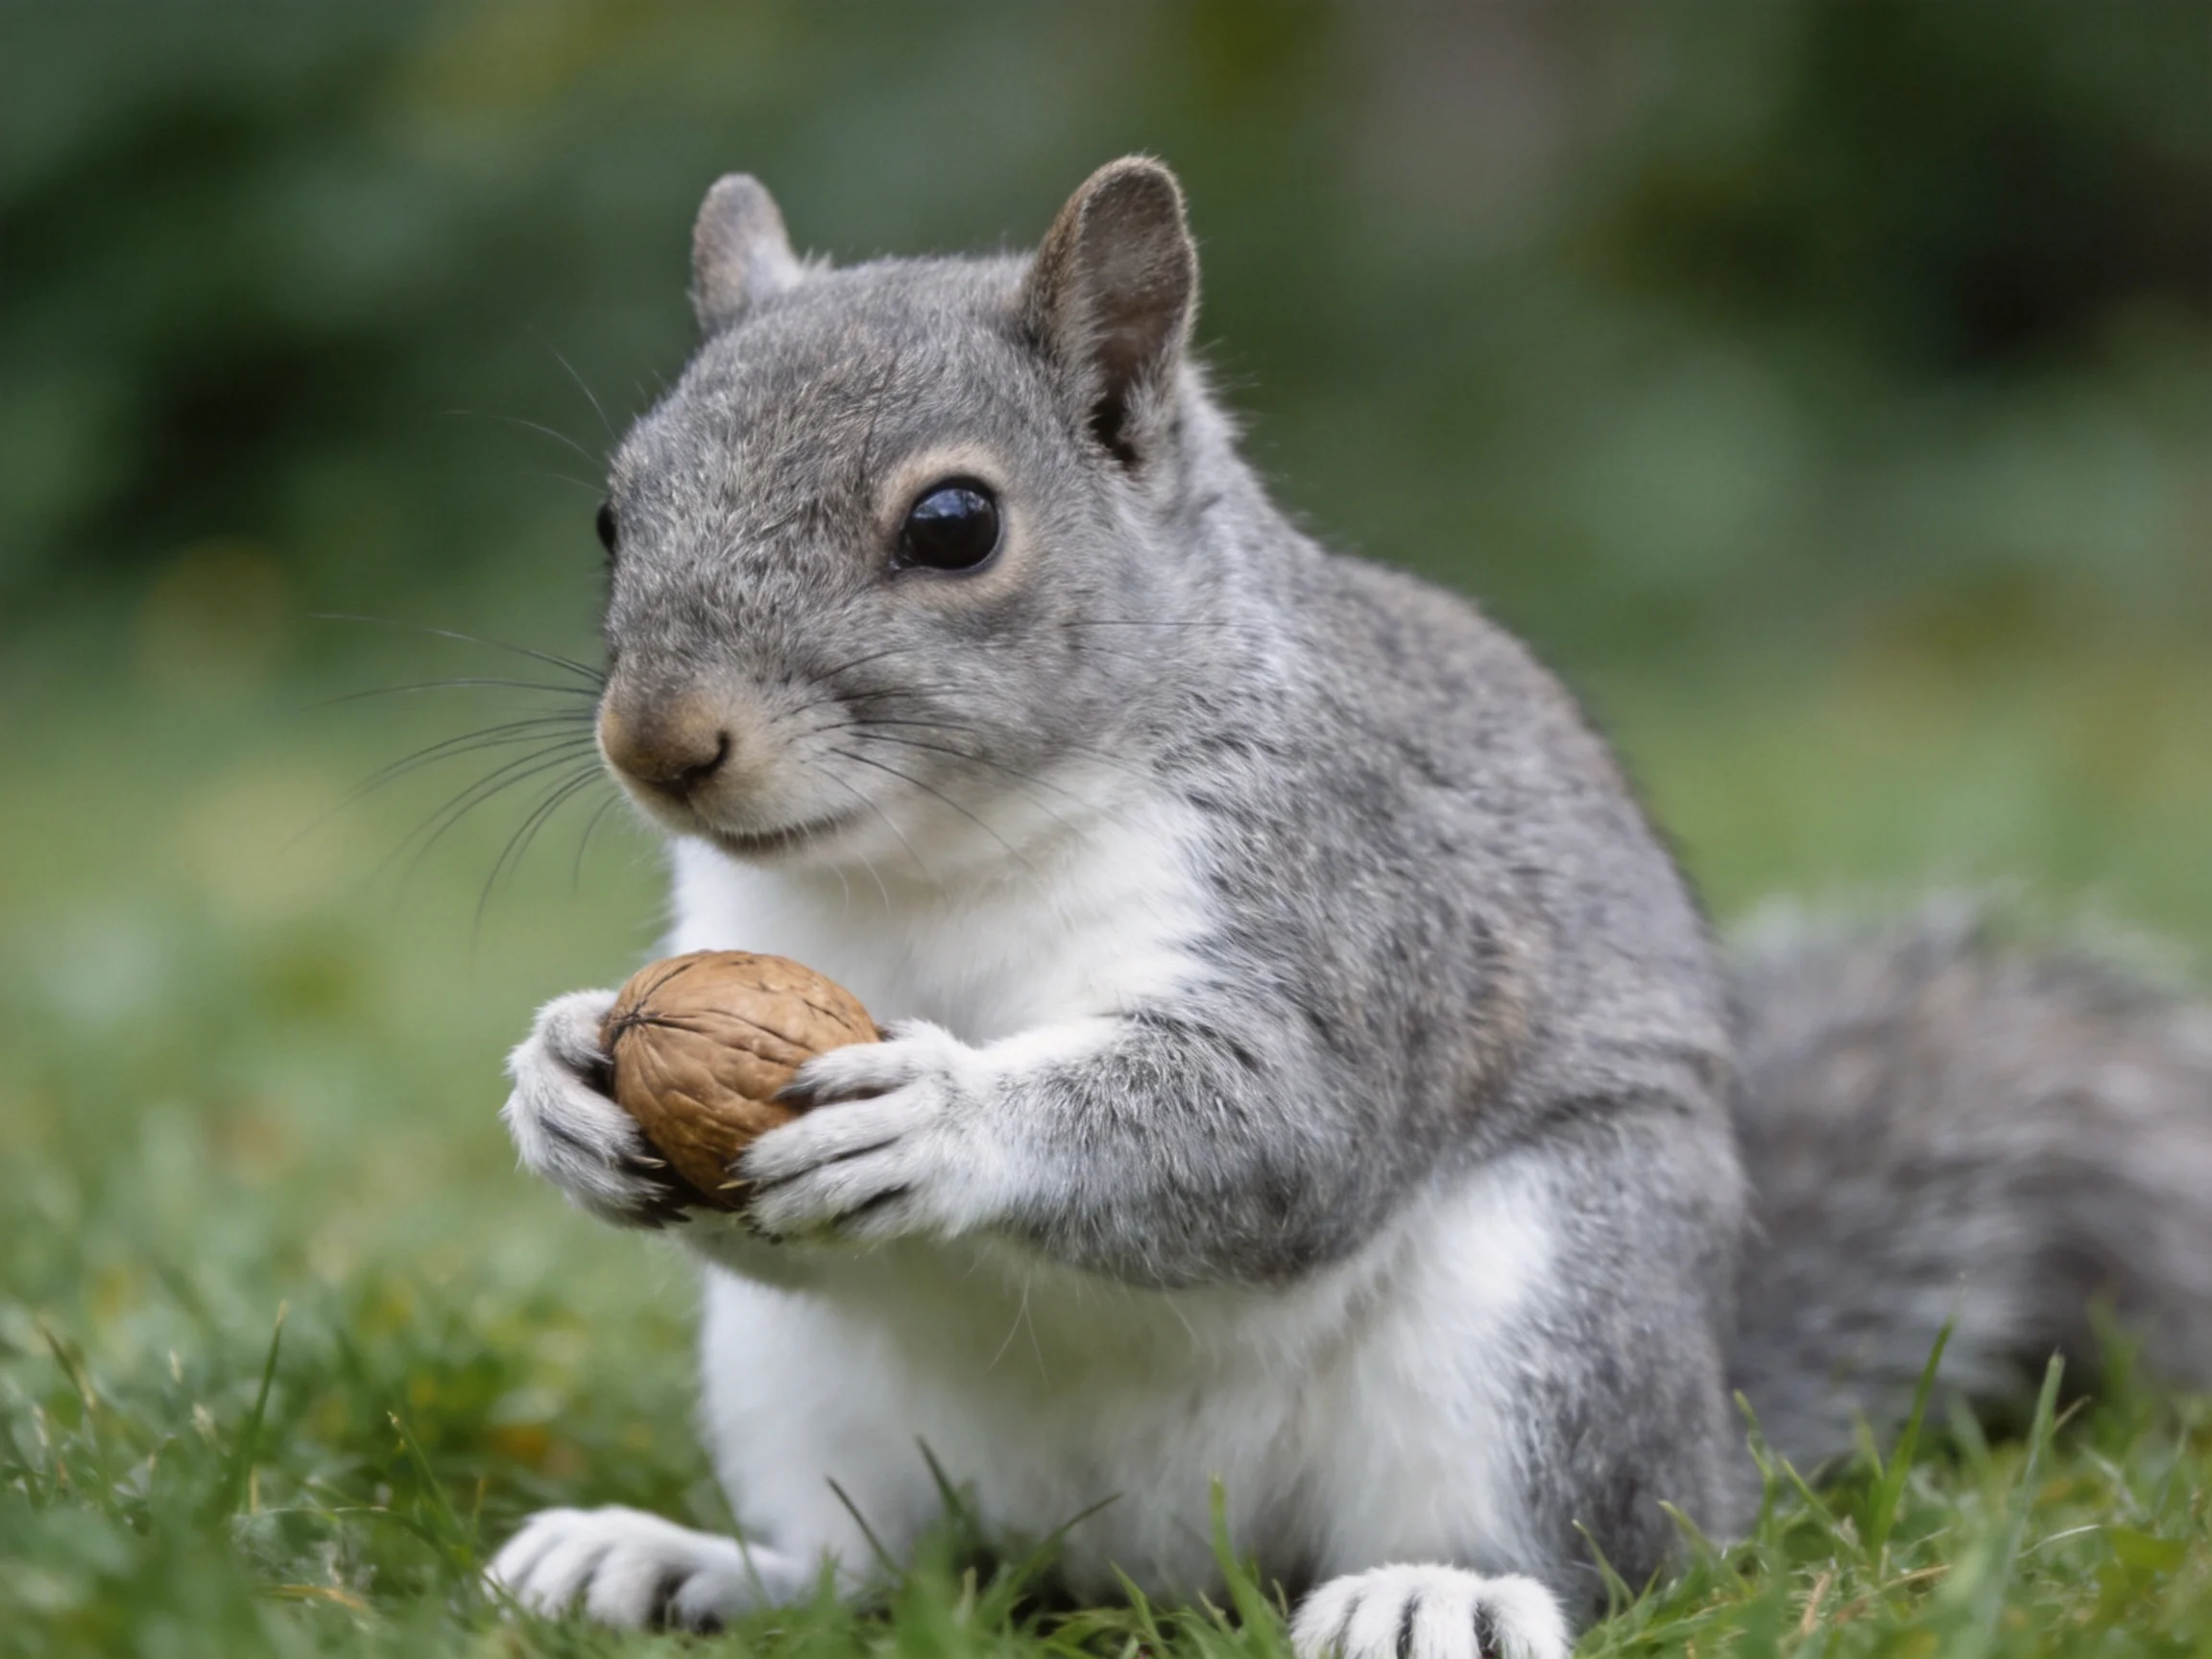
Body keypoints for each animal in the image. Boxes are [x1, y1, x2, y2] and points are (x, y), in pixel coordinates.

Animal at [487, 159, 2212, 1655]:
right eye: (611, 513)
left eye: (953, 524)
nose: (657, 741)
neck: (927, 857)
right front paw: (559, 1079)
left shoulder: (1349, 898)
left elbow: (1284, 1128)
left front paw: (947, 1116)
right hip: (801, 1392)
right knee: (871, 1568)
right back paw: (680, 1564)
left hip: (1544, 1310)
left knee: (1599, 1560)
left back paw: (1438, 1593)